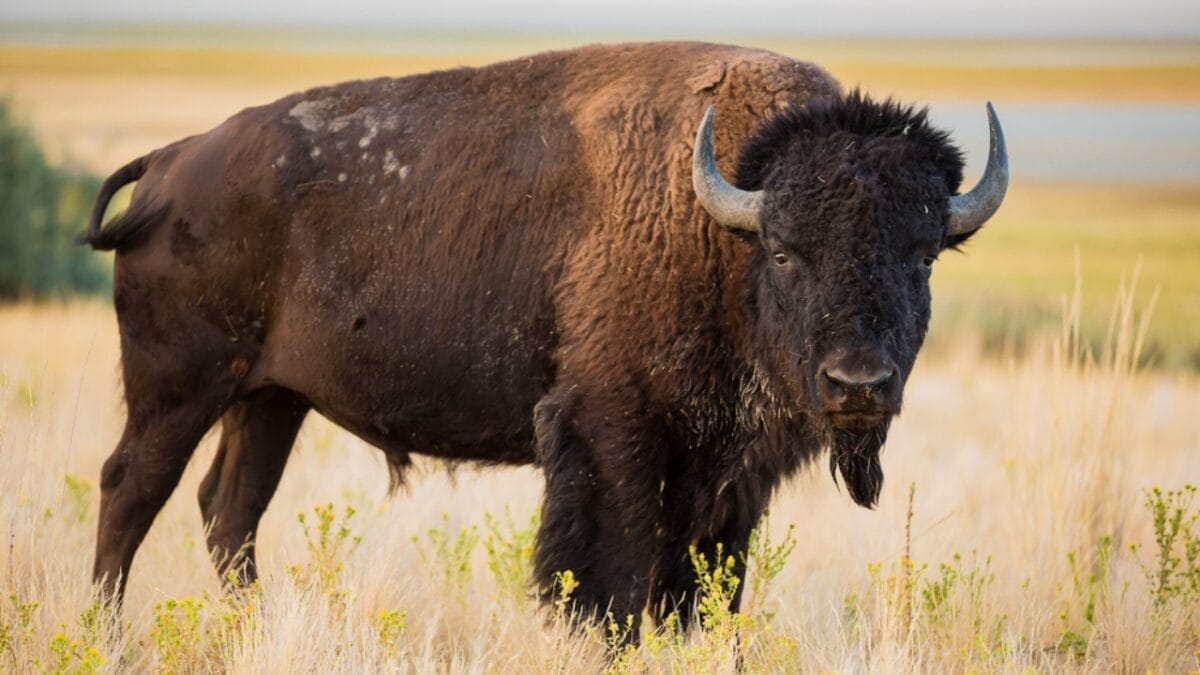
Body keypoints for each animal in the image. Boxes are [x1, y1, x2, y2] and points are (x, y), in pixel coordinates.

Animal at [82, 41, 1007, 635]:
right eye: (784, 250)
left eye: (923, 254)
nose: (858, 384)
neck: (720, 226)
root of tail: (172, 162)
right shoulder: (611, 433)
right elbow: (611, 579)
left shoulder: (728, 473)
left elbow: (700, 586)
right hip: (179, 387)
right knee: (132, 489)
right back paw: (105, 632)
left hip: (271, 399)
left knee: (229, 509)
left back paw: (251, 627)